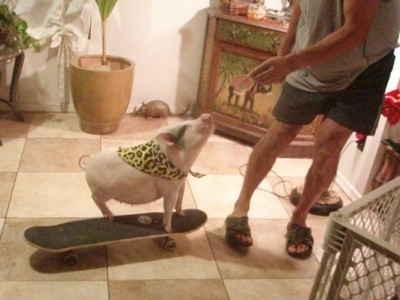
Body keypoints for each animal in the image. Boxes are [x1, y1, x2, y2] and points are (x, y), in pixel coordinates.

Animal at [85, 112, 216, 232]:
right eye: (184, 128)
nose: (207, 114)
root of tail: (88, 165)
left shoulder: (181, 183)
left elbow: (180, 199)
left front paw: (183, 214)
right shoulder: (169, 190)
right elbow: (168, 208)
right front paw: (169, 230)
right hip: (103, 191)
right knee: (94, 198)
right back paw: (112, 216)